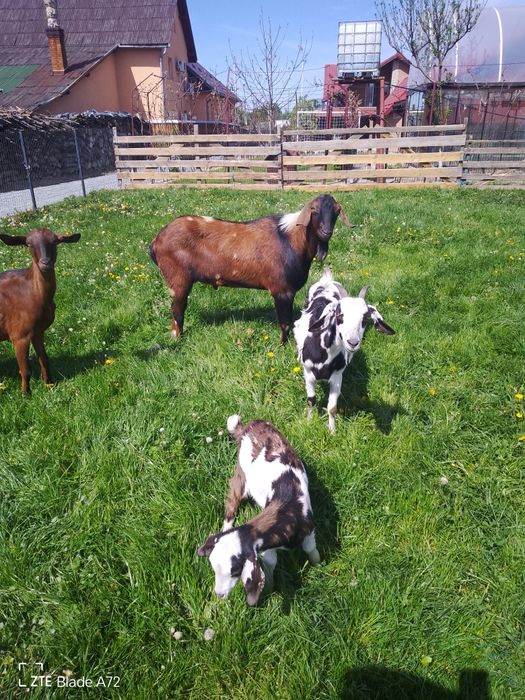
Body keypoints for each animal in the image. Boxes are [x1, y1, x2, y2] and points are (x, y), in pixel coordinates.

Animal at [0, 228, 80, 394]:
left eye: (55, 241)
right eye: (29, 244)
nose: (46, 263)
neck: (32, 291)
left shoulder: (38, 331)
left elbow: (44, 360)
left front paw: (49, 385)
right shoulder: (19, 335)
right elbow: (25, 370)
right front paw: (26, 394)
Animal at [148, 194, 351, 343]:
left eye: (336, 211)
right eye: (314, 210)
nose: (326, 232)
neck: (290, 239)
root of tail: (156, 241)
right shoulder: (282, 291)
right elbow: (285, 323)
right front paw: (283, 345)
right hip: (178, 279)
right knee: (177, 310)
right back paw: (178, 339)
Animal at [197, 414, 320, 606]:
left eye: (235, 571)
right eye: (213, 567)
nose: (219, 594)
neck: (286, 509)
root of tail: (248, 426)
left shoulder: (309, 531)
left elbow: (310, 549)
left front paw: (319, 565)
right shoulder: (267, 547)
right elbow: (270, 563)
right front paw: (269, 586)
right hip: (241, 472)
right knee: (232, 502)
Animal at [293, 269, 395, 433]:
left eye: (365, 319)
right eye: (339, 315)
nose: (352, 342)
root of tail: (327, 280)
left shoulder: (337, 377)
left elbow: (332, 408)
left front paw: (332, 431)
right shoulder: (308, 374)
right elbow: (311, 401)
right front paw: (309, 421)